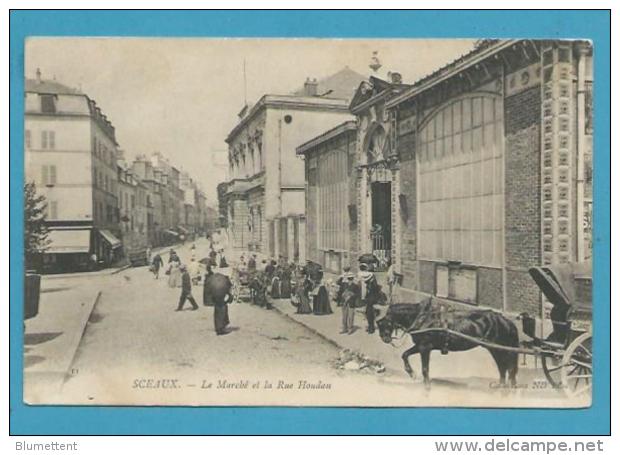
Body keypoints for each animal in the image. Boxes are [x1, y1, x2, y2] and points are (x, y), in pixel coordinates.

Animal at [376, 302, 520, 388]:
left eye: (386, 324)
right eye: (379, 325)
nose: (385, 338)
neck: (422, 318)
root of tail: (506, 320)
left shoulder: (425, 347)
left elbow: (425, 368)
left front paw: (426, 385)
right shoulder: (421, 346)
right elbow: (405, 354)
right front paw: (411, 373)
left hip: (497, 348)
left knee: (504, 366)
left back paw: (503, 385)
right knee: (505, 366)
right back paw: (503, 385)